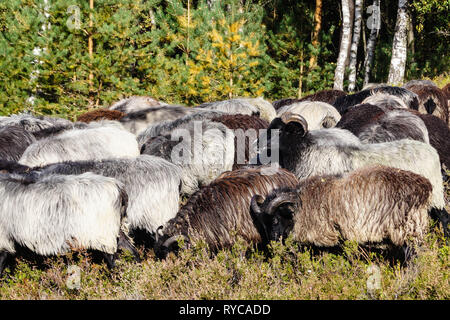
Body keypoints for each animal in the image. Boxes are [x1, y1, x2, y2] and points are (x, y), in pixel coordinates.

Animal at [0, 171, 134, 274]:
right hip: (116, 230)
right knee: (129, 251)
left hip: (104, 235)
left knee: (114, 260)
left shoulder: (3, 240)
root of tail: (118, 188)